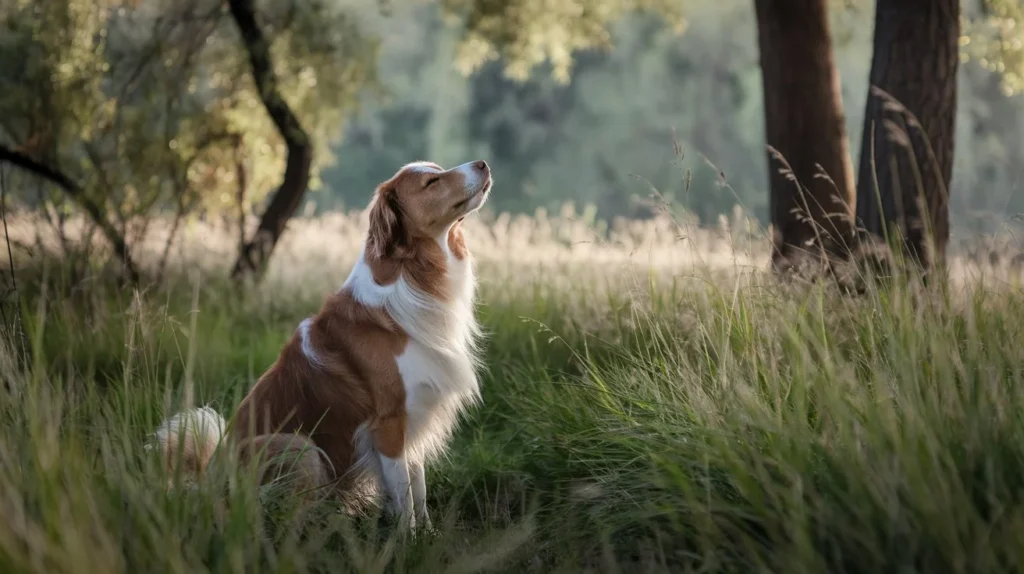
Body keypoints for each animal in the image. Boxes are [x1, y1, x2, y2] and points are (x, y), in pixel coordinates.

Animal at [149, 158, 495, 532]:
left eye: (438, 169)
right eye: (432, 182)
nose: (482, 163)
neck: (413, 274)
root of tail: (208, 484)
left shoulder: (414, 418)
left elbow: (418, 490)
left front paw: (428, 535)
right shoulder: (389, 424)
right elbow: (404, 496)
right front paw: (408, 540)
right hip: (301, 446)